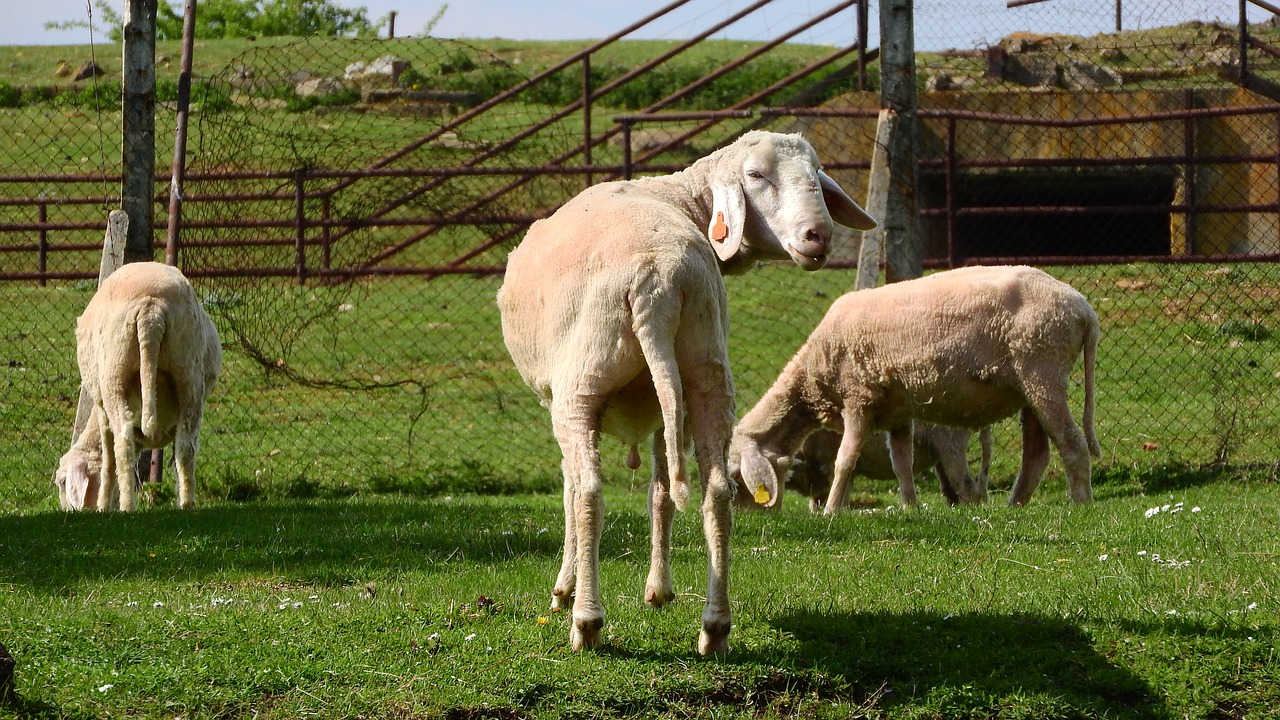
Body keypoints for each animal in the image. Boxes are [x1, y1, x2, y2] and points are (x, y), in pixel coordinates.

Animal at [54, 262, 222, 509]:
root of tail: (151, 311)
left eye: (62, 482)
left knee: (123, 446)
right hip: (189, 374)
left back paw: (127, 506)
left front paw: (104, 503)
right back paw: (185, 504)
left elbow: (108, 460)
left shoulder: (101, 409)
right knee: (185, 446)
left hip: (114, 375)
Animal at [494, 127, 875, 650]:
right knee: (716, 492)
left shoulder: (557, 398)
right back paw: (714, 627)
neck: (680, 197)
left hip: (582, 385)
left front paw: (563, 589)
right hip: (705, 371)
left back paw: (586, 621)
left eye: (816, 175)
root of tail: (656, 282)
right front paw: (659, 591)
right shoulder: (663, 408)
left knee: (589, 492)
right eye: (755, 174)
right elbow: (660, 491)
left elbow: (572, 490)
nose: (819, 235)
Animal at [747, 420, 998, 509]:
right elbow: (815, 503)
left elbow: (839, 494)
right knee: (951, 490)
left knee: (966, 486)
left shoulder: (830, 464)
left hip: (951, 443)